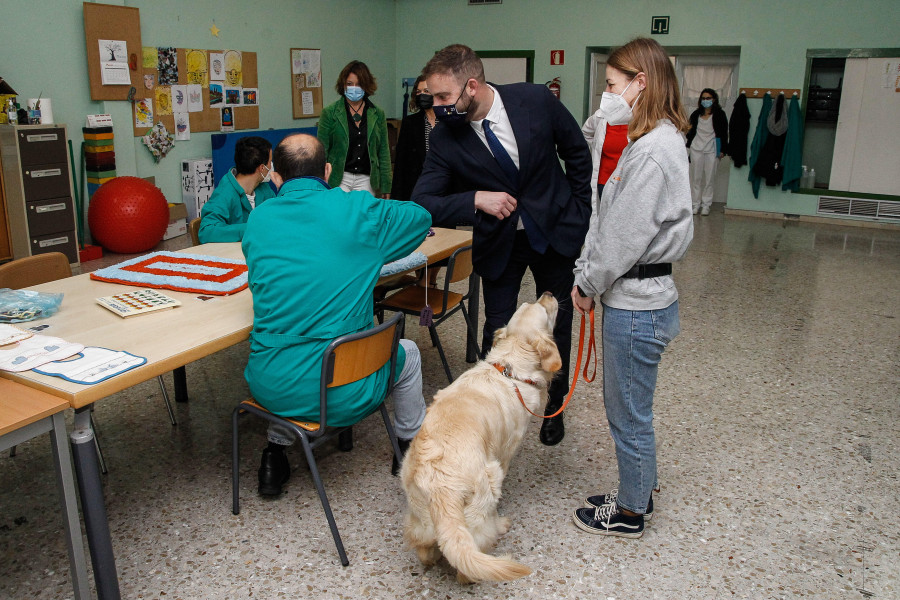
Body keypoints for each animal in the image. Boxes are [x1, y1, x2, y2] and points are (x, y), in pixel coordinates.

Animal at [400, 292, 560, 584]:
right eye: (542, 308)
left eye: (531, 303)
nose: (548, 294)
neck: (509, 367)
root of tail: (440, 487)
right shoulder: (506, 450)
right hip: (488, 481)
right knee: (469, 561)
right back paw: (499, 527)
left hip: (419, 518)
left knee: (426, 549)